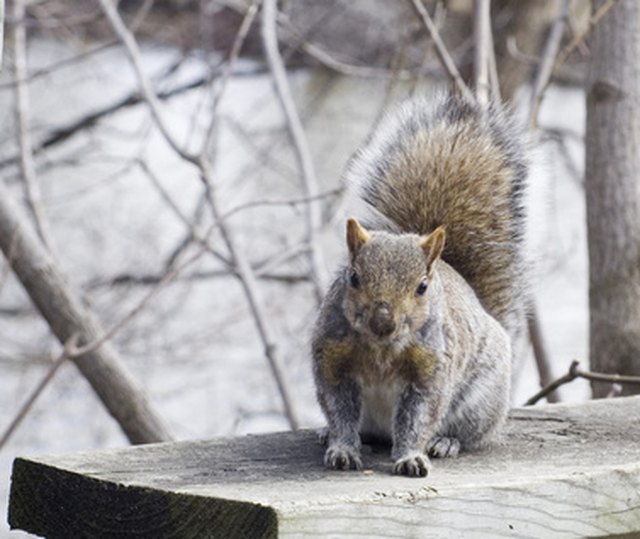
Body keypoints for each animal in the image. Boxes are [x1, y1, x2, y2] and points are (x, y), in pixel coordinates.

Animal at [312, 93, 528, 476]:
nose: (383, 322)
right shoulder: (332, 358)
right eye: (352, 277)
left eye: (422, 287)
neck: (381, 348)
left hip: (480, 401)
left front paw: (411, 455)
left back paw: (446, 441)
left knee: (472, 433)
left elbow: (419, 415)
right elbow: (339, 410)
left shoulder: (431, 368)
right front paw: (341, 448)